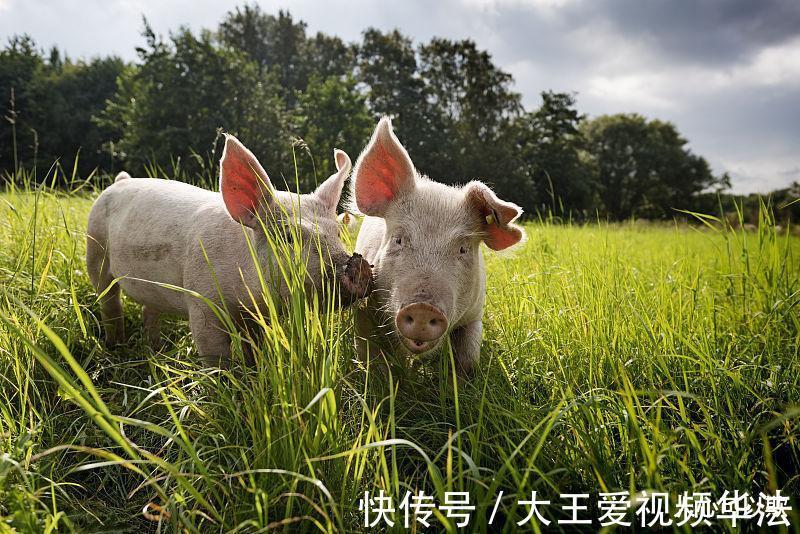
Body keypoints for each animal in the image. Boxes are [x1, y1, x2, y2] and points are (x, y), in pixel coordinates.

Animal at [86, 135, 374, 368]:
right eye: (288, 237)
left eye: (337, 234)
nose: (356, 266)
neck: (246, 301)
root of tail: (120, 181)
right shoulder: (201, 303)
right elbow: (215, 355)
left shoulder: (257, 315)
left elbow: (255, 347)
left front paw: (254, 370)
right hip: (95, 250)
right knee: (109, 302)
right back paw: (115, 346)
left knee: (149, 310)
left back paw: (155, 350)